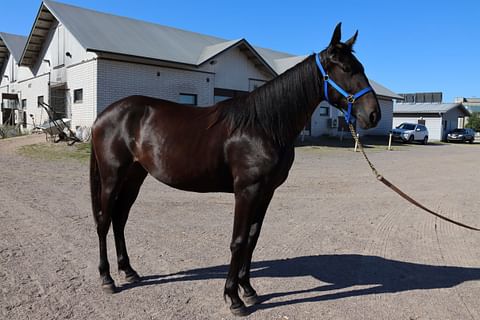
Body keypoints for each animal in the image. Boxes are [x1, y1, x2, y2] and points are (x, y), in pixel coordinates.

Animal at [90, 23, 380, 316]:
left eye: (361, 67)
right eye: (346, 68)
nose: (373, 115)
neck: (263, 126)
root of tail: (104, 115)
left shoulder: (266, 192)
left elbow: (252, 238)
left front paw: (248, 290)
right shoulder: (246, 191)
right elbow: (238, 240)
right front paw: (233, 298)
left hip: (135, 176)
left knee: (120, 219)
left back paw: (128, 271)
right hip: (112, 176)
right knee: (104, 220)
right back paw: (107, 279)